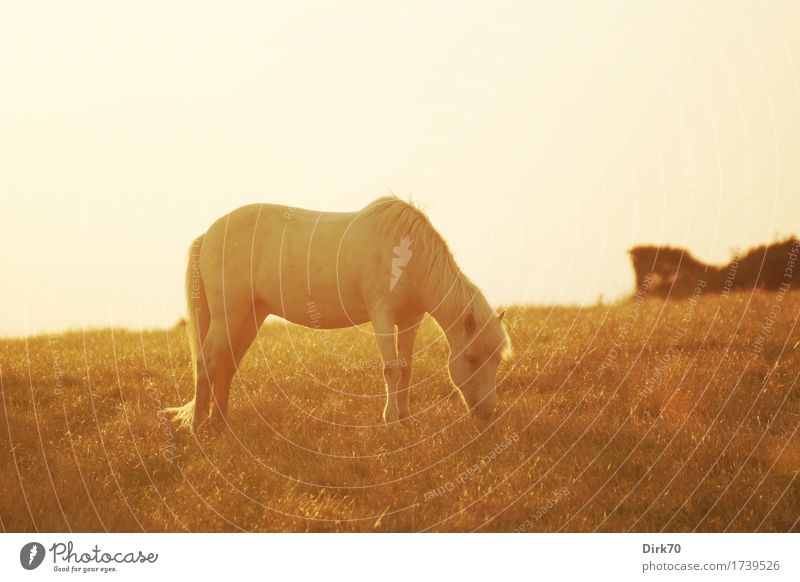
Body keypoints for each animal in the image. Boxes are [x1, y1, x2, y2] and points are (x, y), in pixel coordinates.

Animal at [167, 198, 512, 432]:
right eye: (471, 358)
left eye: (496, 360)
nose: (488, 413)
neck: (408, 256)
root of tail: (208, 234)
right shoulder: (382, 315)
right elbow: (391, 369)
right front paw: (391, 421)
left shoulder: (409, 320)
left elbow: (406, 369)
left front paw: (405, 418)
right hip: (228, 315)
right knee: (207, 361)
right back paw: (197, 426)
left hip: (248, 318)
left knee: (225, 365)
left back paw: (221, 424)